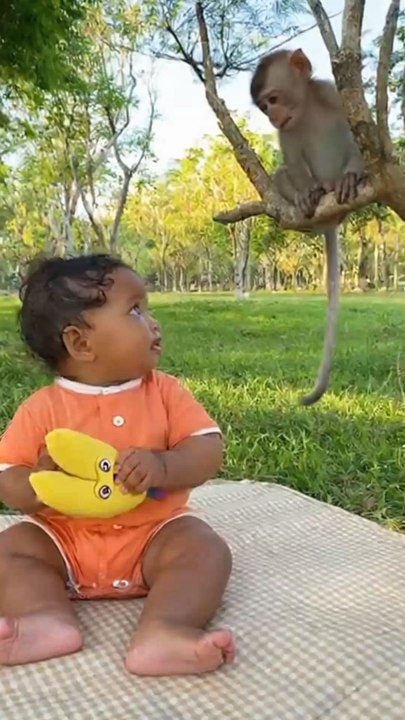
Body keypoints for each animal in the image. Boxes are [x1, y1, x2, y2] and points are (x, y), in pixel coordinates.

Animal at [250, 48, 365, 405]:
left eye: (273, 99)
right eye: (264, 107)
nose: (272, 117)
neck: (306, 110)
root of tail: (330, 219)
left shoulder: (331, 93)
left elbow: (358, 135)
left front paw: (352, 174)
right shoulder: (285, 131)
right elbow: (292, 161)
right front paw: (303, 193)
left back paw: (341, 183)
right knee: (280, 174)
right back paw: (305, 206)